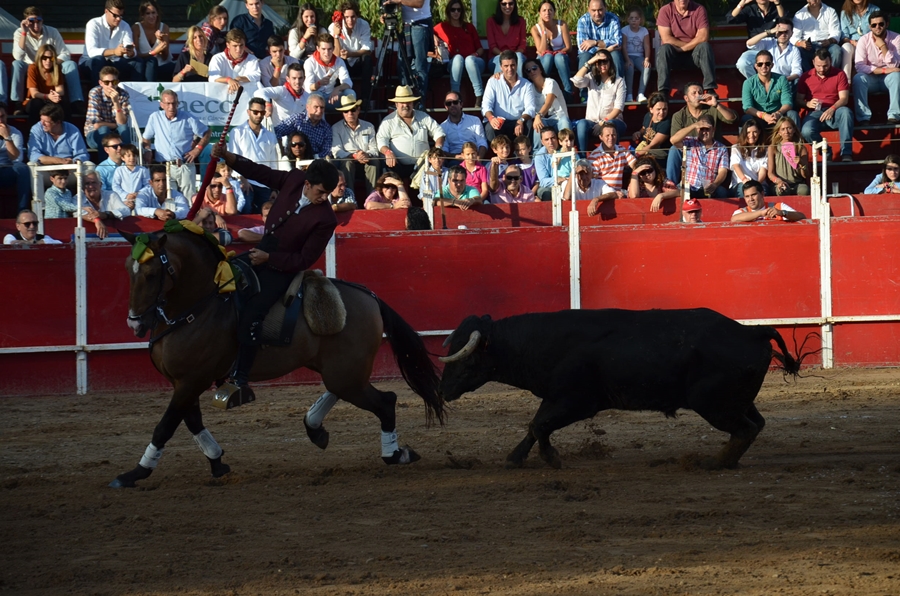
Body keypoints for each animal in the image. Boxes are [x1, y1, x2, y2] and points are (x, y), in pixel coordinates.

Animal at [114, 226, 444, 486]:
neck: (198, 306)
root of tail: (371, 297)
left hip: (346, 372)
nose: (134, 323)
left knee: (385, 401)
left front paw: (135, 473)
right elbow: (191, 421)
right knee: (344, 391)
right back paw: (315, 427)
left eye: (152, 273)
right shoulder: (183, 382)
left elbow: (166, 425)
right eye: (128, 268)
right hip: (341, 370)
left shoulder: (191, 380)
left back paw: (395, 453)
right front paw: (217, 461)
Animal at [440, 308, 800, 470]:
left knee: (745, 429)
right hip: (736, 400)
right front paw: (515, 457)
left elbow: (539, 425)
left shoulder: (575, 401)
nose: (442, 391)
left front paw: (552, 458)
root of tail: (752, 332)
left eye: (464, 358)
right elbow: (533, 425)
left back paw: (717, 462)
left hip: (713, 403)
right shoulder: (556, 398)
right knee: (756, 424)